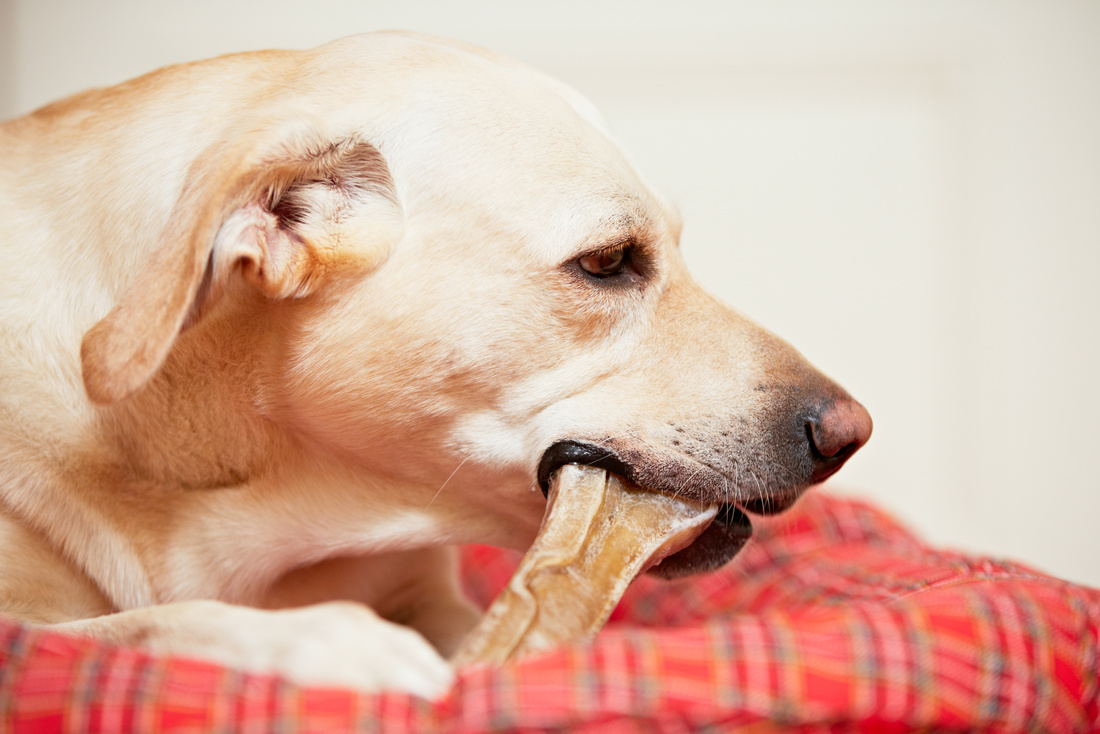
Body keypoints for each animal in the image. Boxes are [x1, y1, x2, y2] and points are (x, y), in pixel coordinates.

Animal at [0, 33, 871, 699]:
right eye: (608, 262)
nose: (850, 434)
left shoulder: (438, 595)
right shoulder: (34, 619)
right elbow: (126, 627)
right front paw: (327, 643)